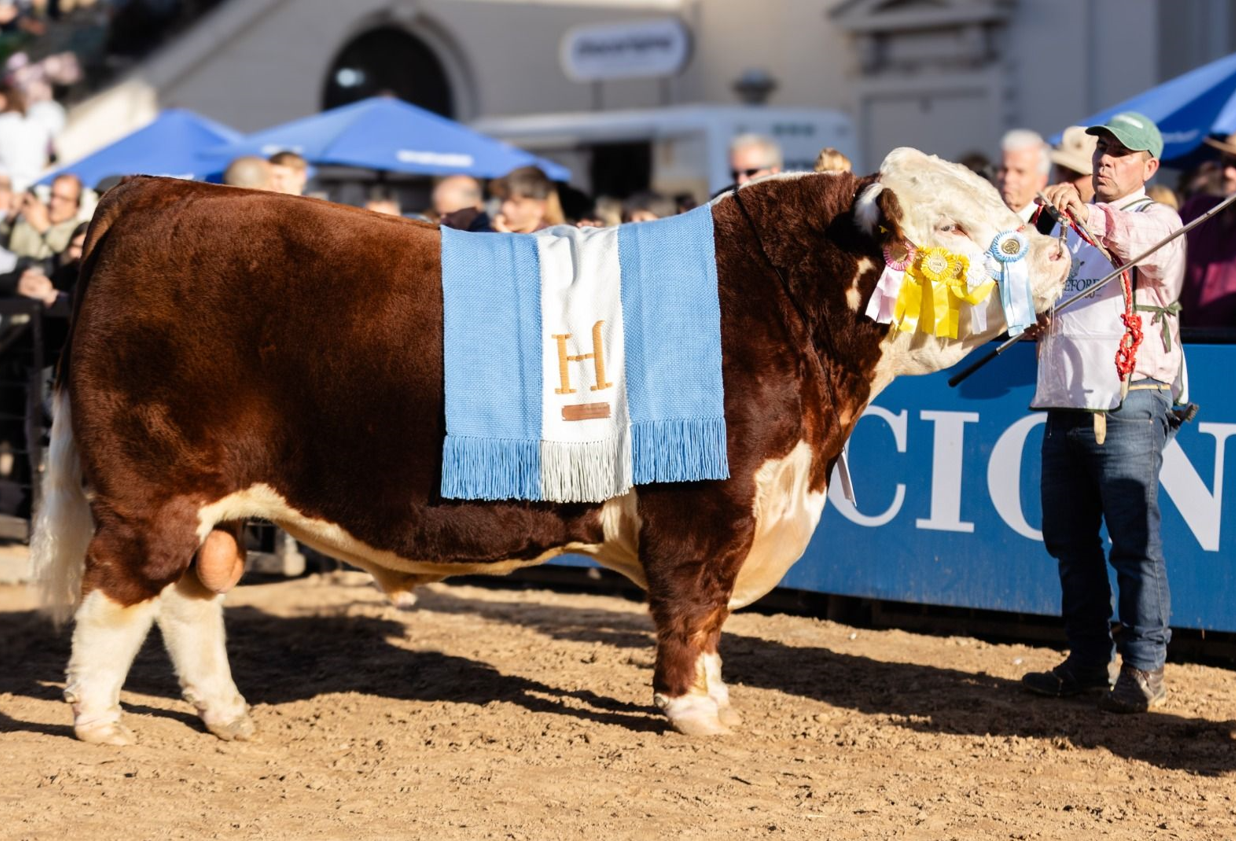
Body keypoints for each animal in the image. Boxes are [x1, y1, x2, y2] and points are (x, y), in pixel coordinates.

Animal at [31, 149, 1072, 742]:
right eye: (952, 225)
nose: (1061, 247)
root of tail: (154, 192)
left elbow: (713, 620)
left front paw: (716, 696)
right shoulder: (707, 504)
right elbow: (692, 608)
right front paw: (694, 713)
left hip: (214, 498)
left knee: (187, 598)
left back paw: (225, 713)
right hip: (153, 485)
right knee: (118, 593)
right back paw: (98, 720)